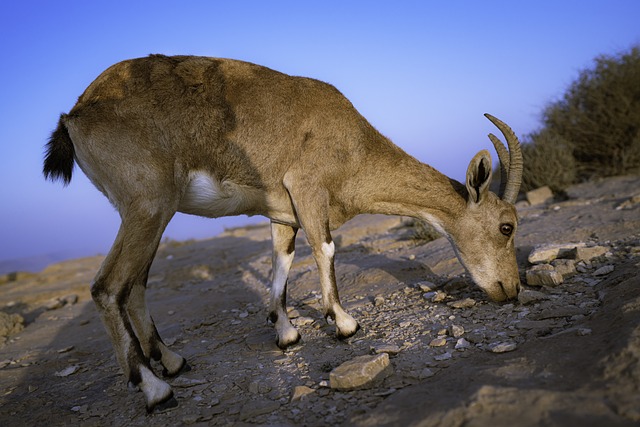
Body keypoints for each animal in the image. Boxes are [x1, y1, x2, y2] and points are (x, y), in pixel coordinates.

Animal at [46, 55, 524, 412]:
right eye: (507, 225)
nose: (511, 289)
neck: (352, 145)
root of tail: (74, 114)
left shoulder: (283, 214)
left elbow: (282, 262)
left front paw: (286, 332)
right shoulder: (308, 187)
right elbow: (326, 248)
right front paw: (344, 323)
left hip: (147, 212)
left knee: (137, 285)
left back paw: (174, 361)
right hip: (148, 204)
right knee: (108, 286)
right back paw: (155, 388)